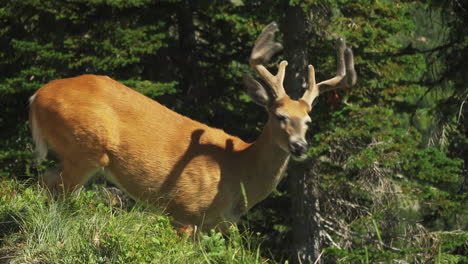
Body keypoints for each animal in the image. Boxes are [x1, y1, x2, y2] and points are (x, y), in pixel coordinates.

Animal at [30, 22, 354, 231]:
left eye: (308, 121)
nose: (299, 146)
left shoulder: (217, 224)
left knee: (46, 182)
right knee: (54, 189)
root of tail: (36, 97)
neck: (239, 171)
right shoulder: (186, 210)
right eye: (279, 116)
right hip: (85, 148)